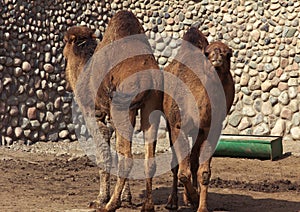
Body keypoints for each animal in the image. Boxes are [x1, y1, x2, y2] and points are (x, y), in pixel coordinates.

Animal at [62, 10, 163, 211]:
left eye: (65, 43)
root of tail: (148, 76)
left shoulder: (93, 113)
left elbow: (104, 154)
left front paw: (101, 198)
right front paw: (127, 197)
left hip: (122, 107)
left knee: (127, 159)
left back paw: (110, 205)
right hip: (150, 107)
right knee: (148, 158)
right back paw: (147, 205)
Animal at [162, 27, 234, 211]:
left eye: (228, 54)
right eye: (207, 53)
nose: (217, 58)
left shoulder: (211, 129)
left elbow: (204, 171)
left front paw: (200, 205)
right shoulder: (178, 125)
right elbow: (182, 172)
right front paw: (193, 198)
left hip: (198, 132)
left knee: (193, 160)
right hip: (170, 124)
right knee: (176, 164)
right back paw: (172, 201)